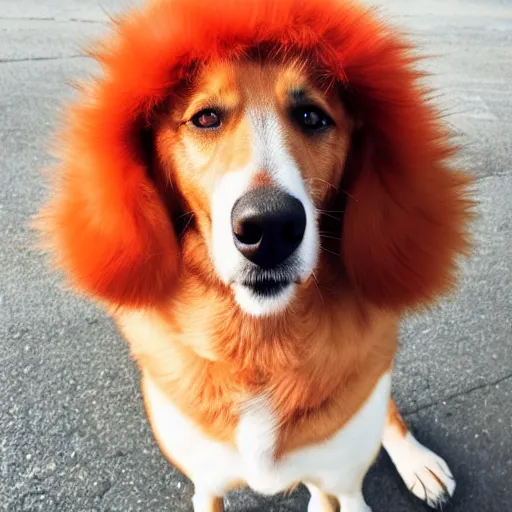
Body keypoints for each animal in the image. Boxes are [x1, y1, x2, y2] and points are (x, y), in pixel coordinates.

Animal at [38, 0, 474, 508]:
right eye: (205, 118)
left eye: (312, 117)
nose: (269, 229)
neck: (260, 343)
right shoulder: (206, 485)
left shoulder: (337, 475)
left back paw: (416, 460)